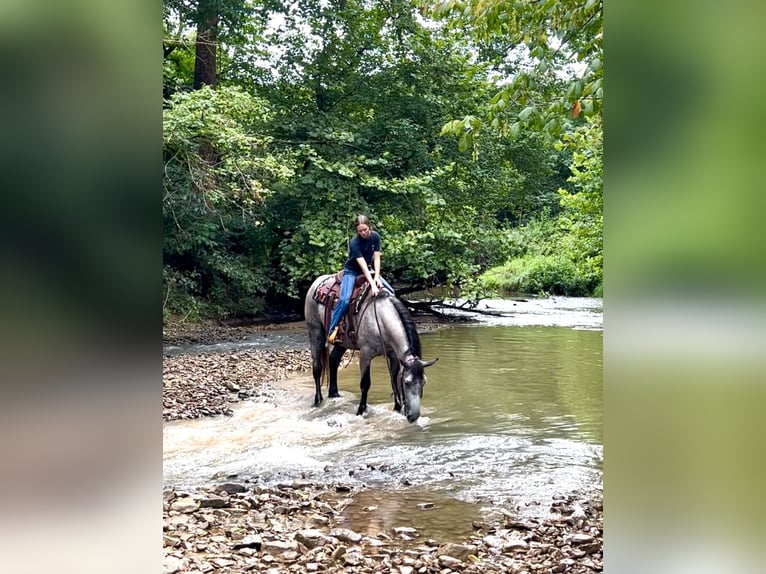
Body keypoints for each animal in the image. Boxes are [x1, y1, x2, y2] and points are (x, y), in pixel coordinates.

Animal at [304, 274, 438, 424]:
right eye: (407, 382)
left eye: (424, 382)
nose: (413, 417)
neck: (379, 318)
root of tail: (317, 282)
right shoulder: (365, 354)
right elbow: (365, 384)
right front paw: (360, 411)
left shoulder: (393, 355)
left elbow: (393, 381)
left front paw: (397, 409)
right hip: (316, 333)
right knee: (317, 368)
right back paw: (318, 401)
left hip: (342, 342)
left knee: (333, 361)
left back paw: (334, 394)